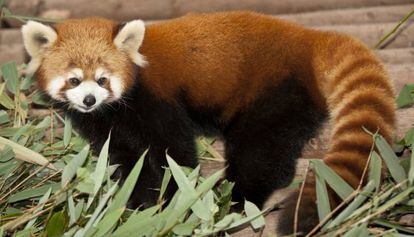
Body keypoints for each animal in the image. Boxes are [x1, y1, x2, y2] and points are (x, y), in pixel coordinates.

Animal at [21, 11, 394, 235]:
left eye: (102, 79)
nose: (89, 100)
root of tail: (307, 37)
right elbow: (125, 159)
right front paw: (138, 200)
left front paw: (176, 198)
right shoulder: (107, 123)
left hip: (274, 88)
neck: (116, 108)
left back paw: (237, 198)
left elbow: (174, 151)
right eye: (73, 80)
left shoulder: (155, 99)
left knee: (260, 151)